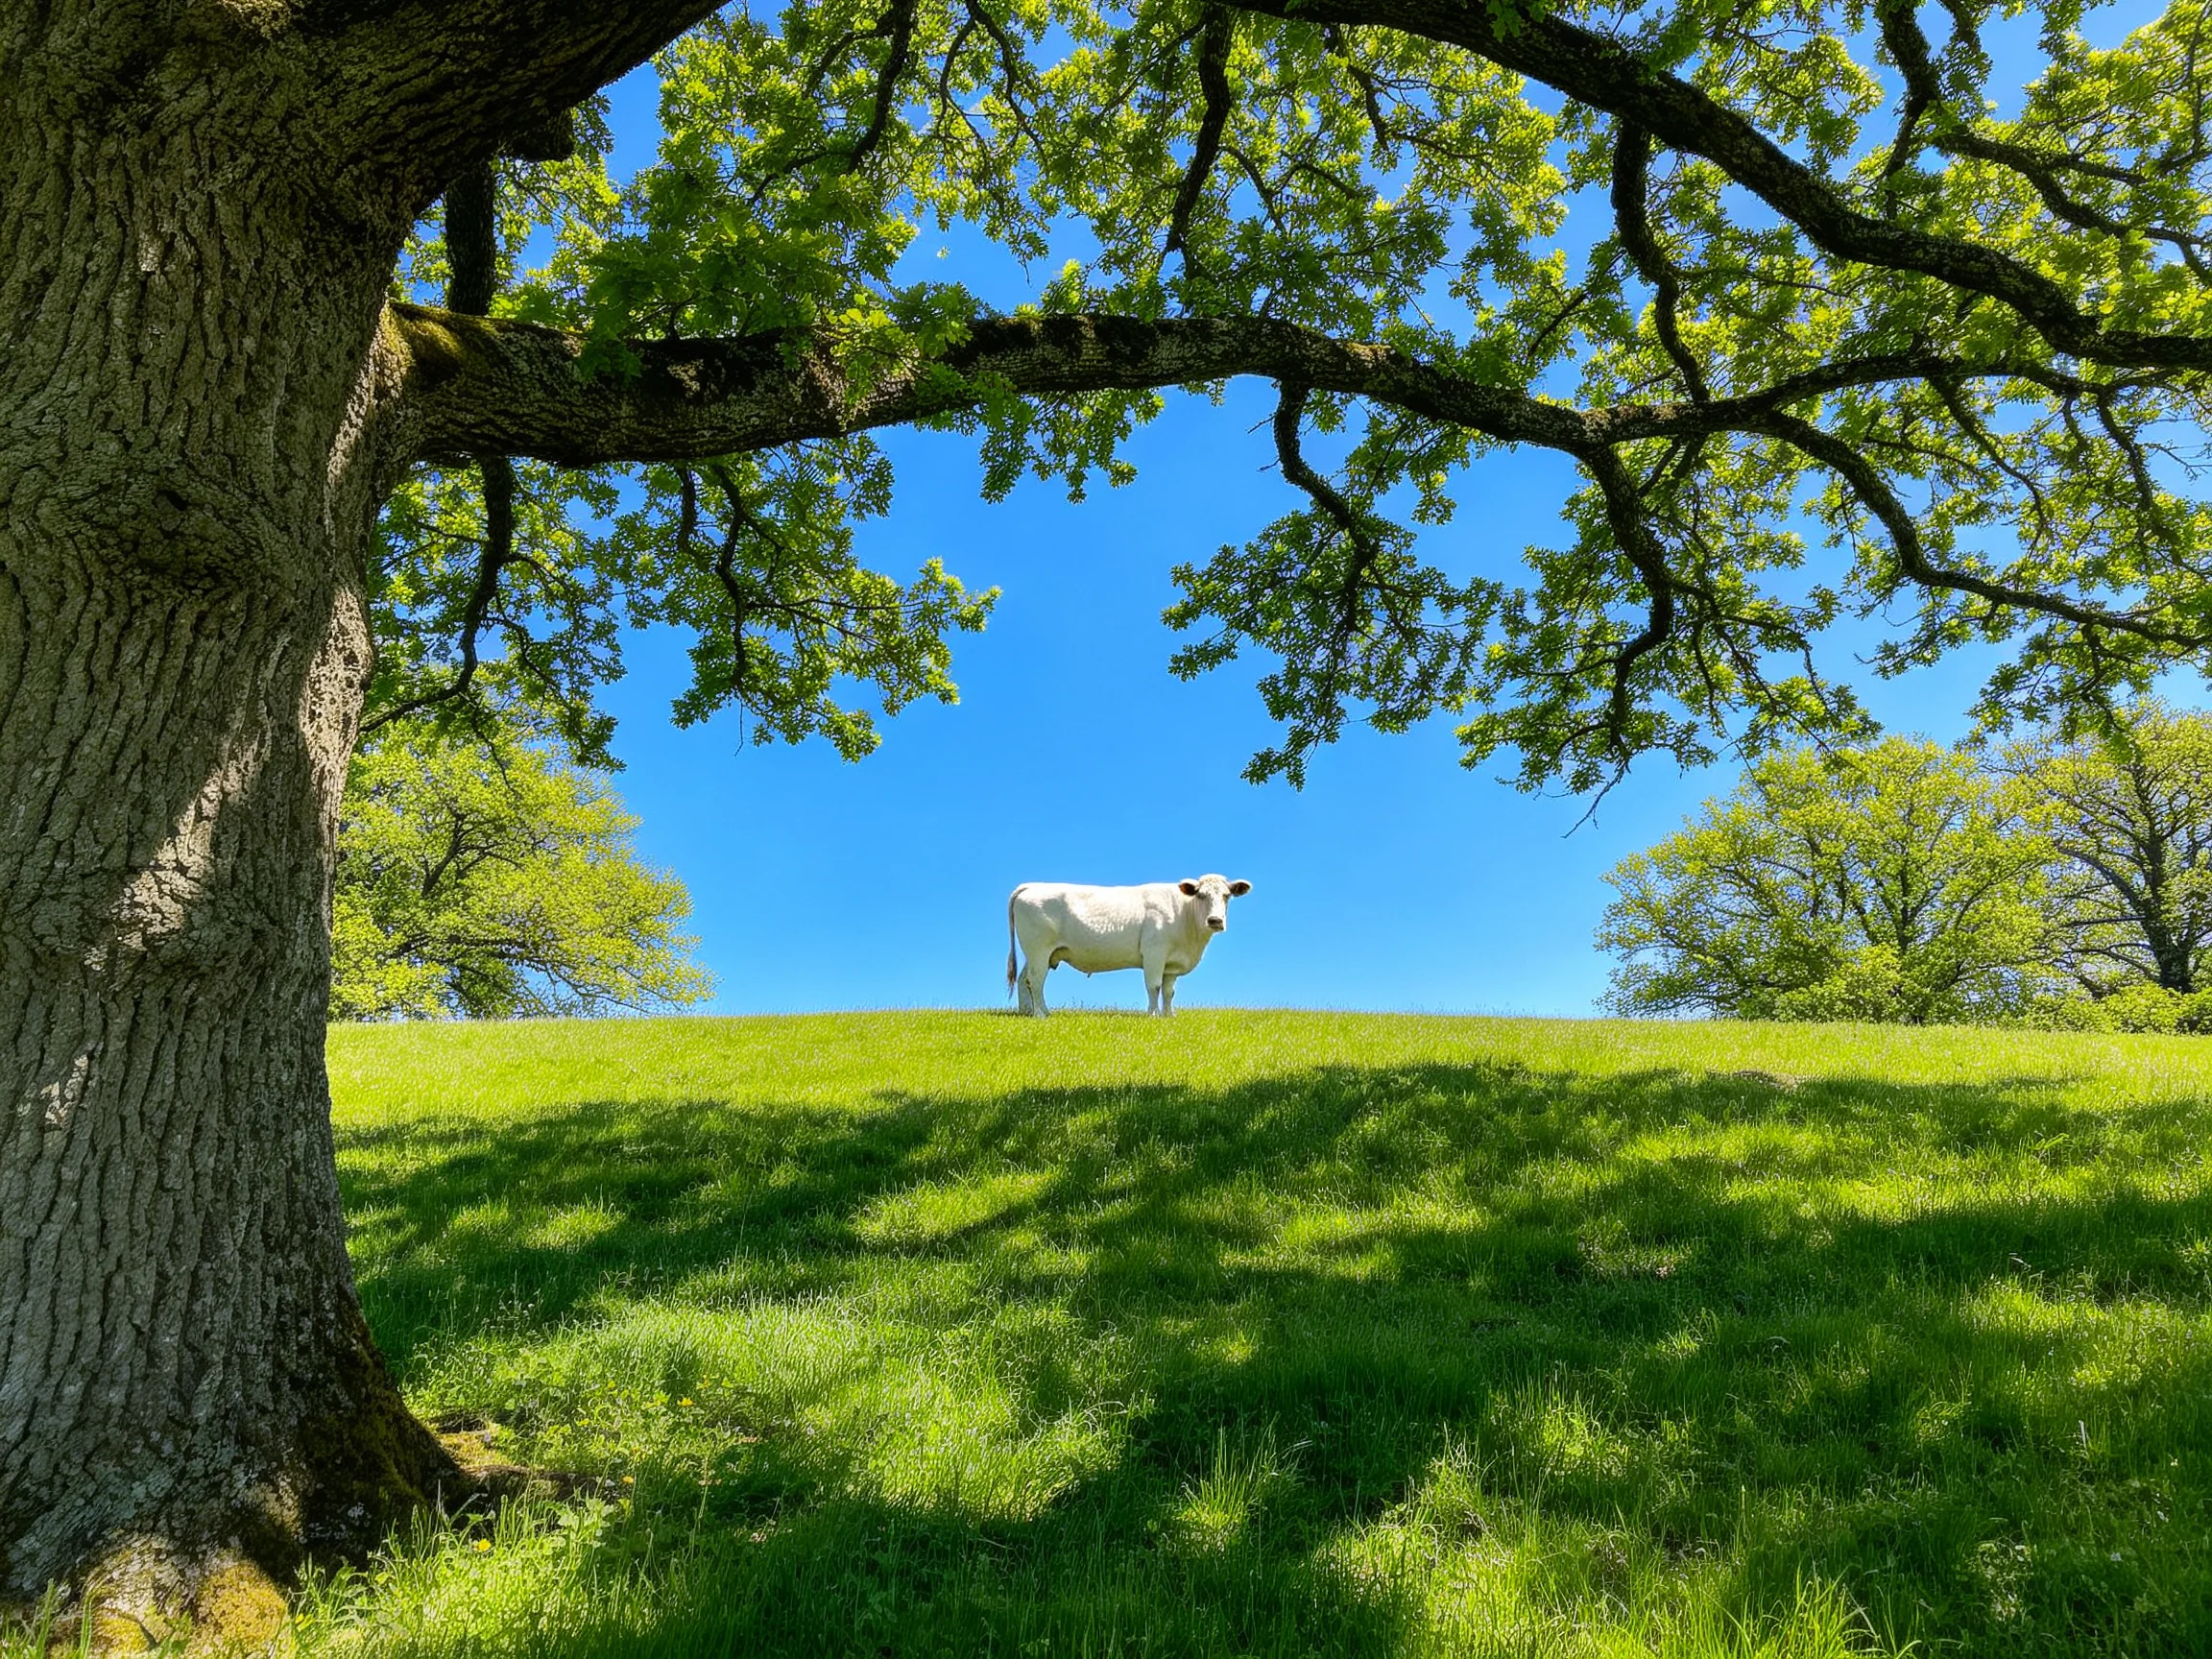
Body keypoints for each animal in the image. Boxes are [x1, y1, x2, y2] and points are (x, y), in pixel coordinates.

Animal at [1006, 875, 1252, 1017]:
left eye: (1227, 895)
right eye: (1200, 895)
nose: (1215, 920)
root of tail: (1032, 886)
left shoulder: (1171, 964)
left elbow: (1169, 992)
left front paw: (1169, 1017)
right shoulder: (1154, 953)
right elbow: (1154, 986)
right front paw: (1152, 1016)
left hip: (1038, 954)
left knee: (1024, 979)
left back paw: (1027, 1012)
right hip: (1039, 949)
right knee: (1035, 980)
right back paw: (1041, 1014)